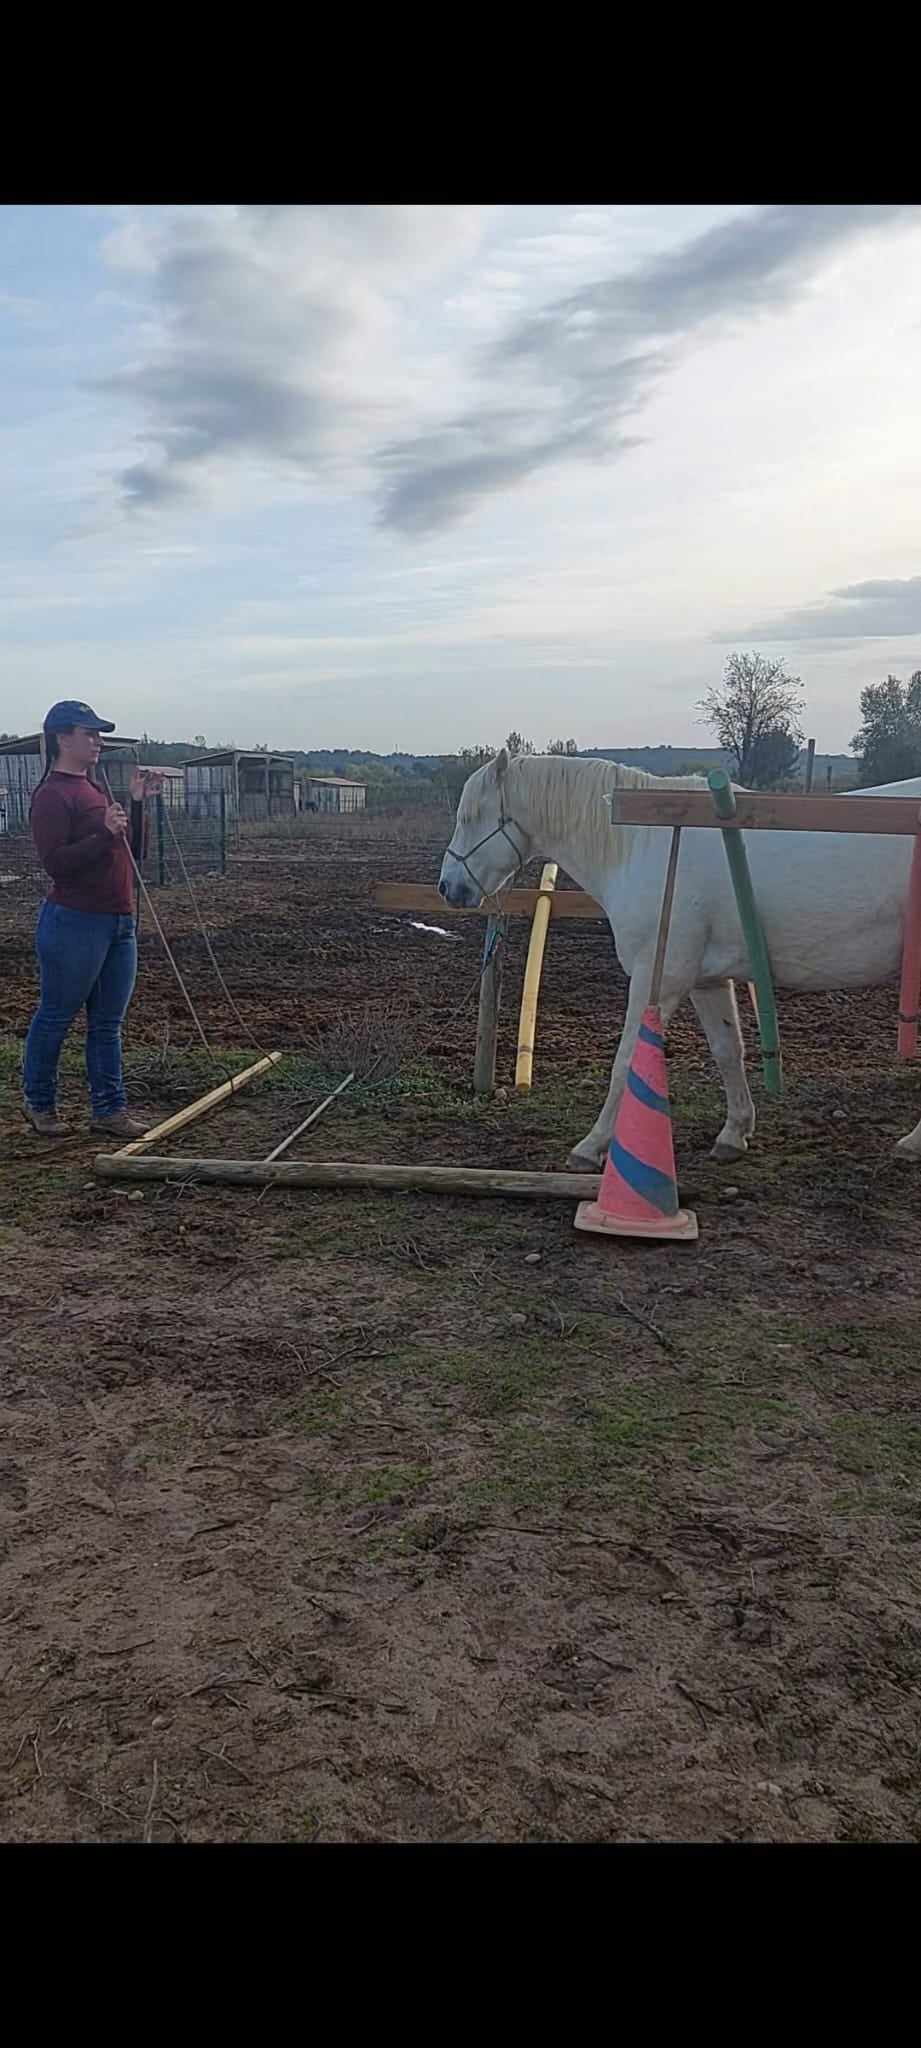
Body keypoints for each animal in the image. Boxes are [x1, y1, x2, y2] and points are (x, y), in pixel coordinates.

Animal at [437, 753, 921, 1171]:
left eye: (471, 816)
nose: (448, 887)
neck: (647, 844)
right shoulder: (705, 980)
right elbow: (728, 1050)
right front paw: (734, 1133)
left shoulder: (659, 975)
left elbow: (626, 1059)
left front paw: (592, 1146)